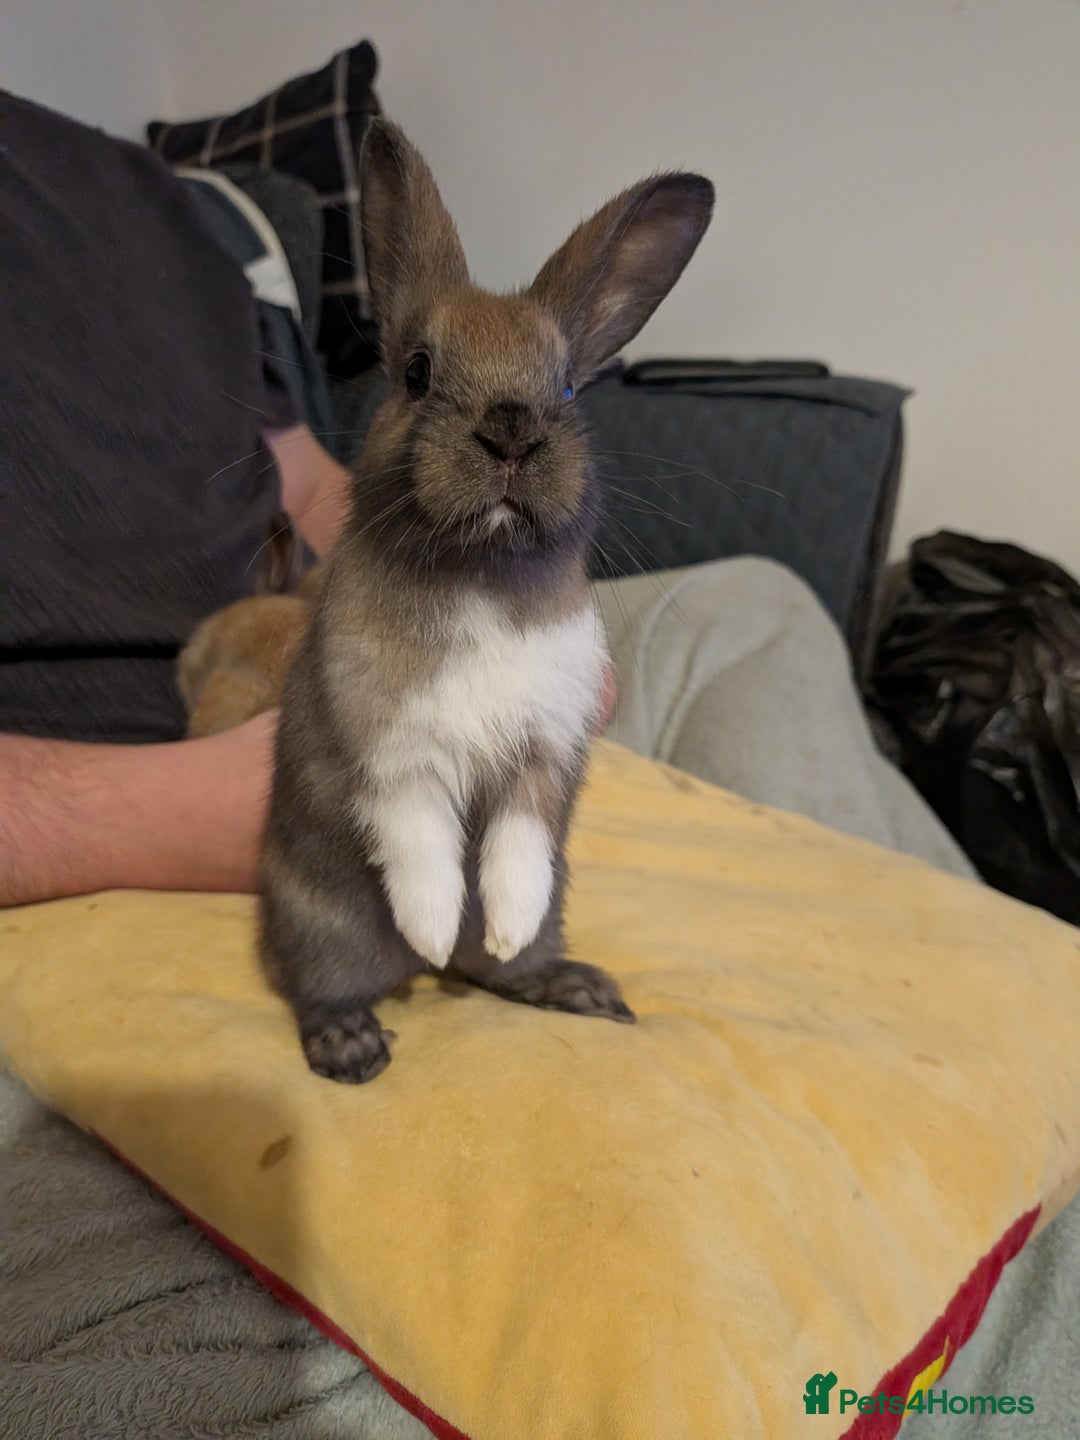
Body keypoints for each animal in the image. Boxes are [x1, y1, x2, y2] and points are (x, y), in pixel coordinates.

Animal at [262, 118, 713, 1083]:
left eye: (569, 386)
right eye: (417, 371)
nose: (511, 430)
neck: (480, 576)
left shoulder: (542, 751)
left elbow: (517, 851)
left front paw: (496, 925)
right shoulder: (394, 749)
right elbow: (422, 842)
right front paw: (432, 928)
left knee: (502, 974)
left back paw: (560, 982)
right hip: (319, 925)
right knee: (323, 989)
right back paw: (361, 1037)